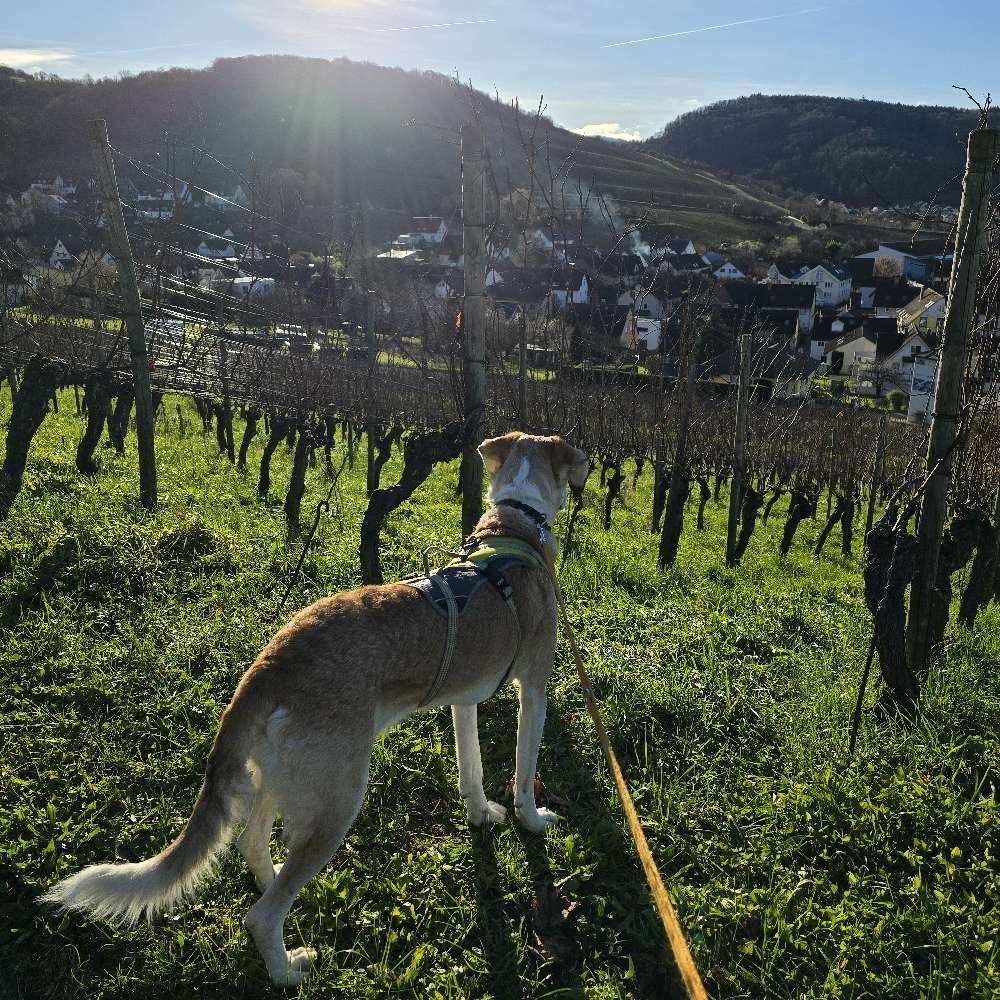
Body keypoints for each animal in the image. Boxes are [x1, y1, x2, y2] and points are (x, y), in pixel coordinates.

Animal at [43, 428, 588, 984]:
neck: (514, 525)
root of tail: (270, 665)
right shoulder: (534, 689)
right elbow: (523, 773)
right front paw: (532, 820)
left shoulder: (463, 699)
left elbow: (471, 768)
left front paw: (480, 814)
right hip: (336, 799)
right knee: (262, 915)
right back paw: (287, 969)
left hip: (284, 775)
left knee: (252, 844)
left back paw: (273, 889)